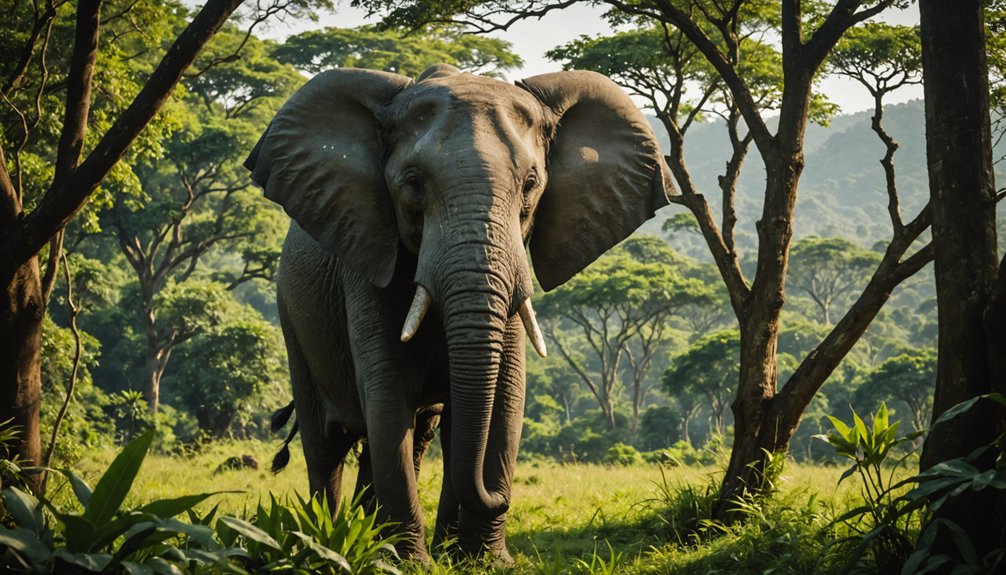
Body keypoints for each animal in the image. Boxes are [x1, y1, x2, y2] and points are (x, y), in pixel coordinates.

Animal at [244, 64, 672, 562]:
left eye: (531, 184)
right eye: (413, 183)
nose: (500, 495)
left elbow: (504, 397)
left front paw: (482, 559)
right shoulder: (367, 266)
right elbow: (389, 393)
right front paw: (408, 562)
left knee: (410, 438)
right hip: (292, 318)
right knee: (327, 445)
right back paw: (328, 541)